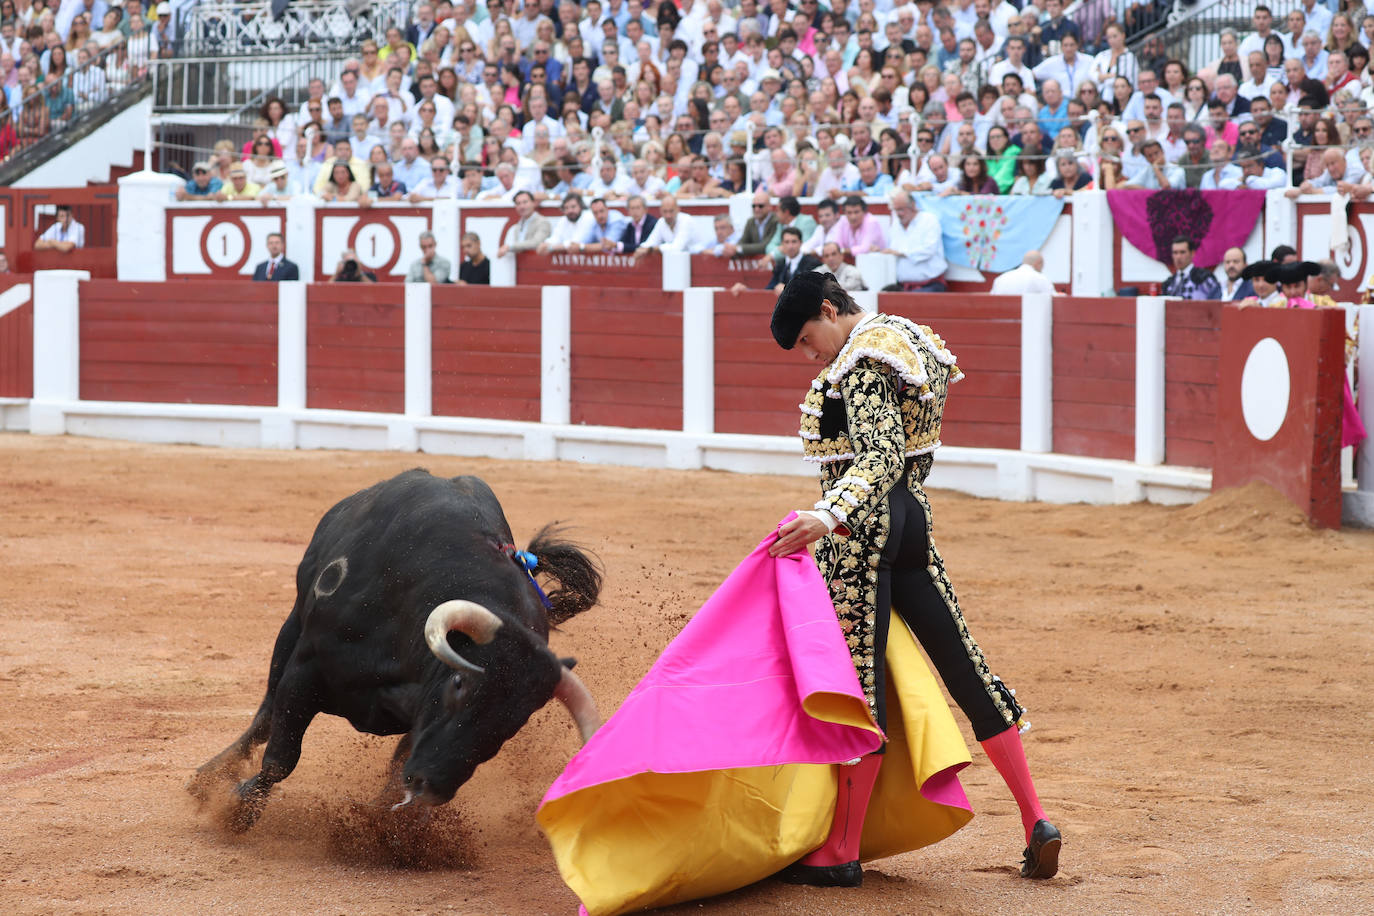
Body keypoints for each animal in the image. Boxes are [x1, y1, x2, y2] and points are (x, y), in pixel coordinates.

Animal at [186, 469, 601, 834]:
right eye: (459, 683)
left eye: (516, 721)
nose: (432, 785)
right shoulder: (307, 669)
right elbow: (280, 757)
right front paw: (239, 809)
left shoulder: (418, 720)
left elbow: (396, 765)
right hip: (291, 625)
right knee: (265, 715)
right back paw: (207, 780)